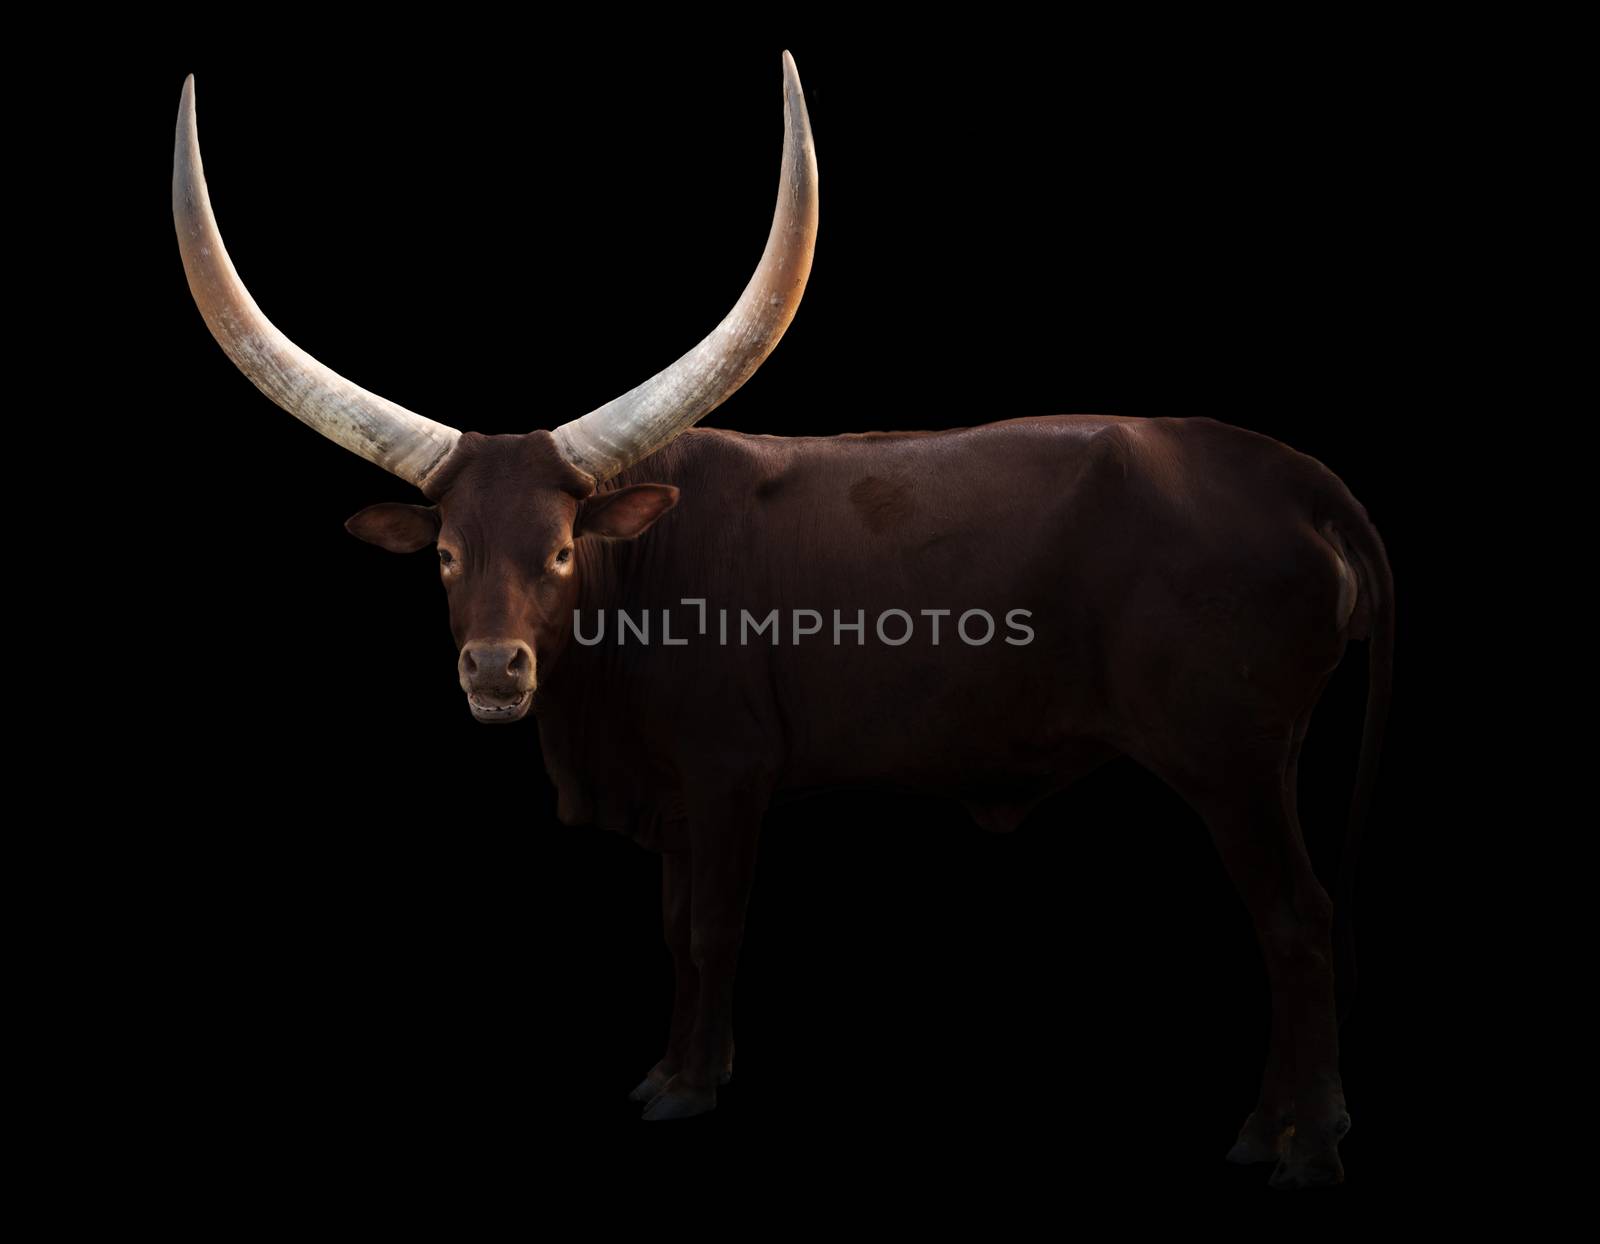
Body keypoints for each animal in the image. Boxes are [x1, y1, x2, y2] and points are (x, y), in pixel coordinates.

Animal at [175, 53, 1388, 1189]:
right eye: (444, 556)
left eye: (561, 550)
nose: (494, 670)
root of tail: (1297, 478)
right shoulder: (672, 792)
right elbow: (671, 925)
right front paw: (677, 1068)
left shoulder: (728, 773)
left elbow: (710, 925)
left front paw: (686, 1090)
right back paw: (1278, 1128)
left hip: (1231, 758)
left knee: (1295, 920)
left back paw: (1301, 1145)